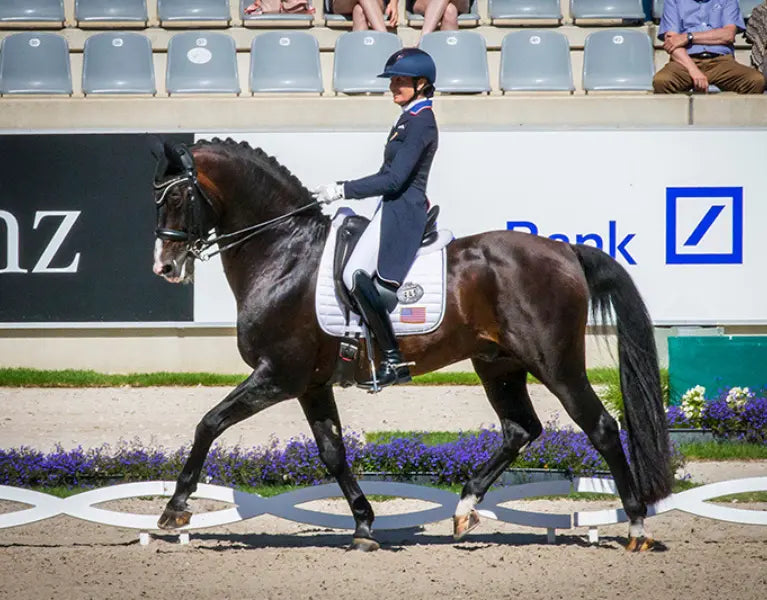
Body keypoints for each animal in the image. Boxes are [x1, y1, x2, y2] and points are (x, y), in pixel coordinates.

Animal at [151, 137, 672, 552]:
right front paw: (364, 525)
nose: (165, 268)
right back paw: (464, 509)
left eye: (177, 196)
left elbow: (209, 423)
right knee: (520, 429)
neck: (285, 255)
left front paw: (174, 509)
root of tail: (565, 250)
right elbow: (333, 453)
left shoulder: (277, 374)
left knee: (600, 427)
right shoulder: (310, 384)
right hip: (498, 363)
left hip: (556, 364)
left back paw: (637, 527)